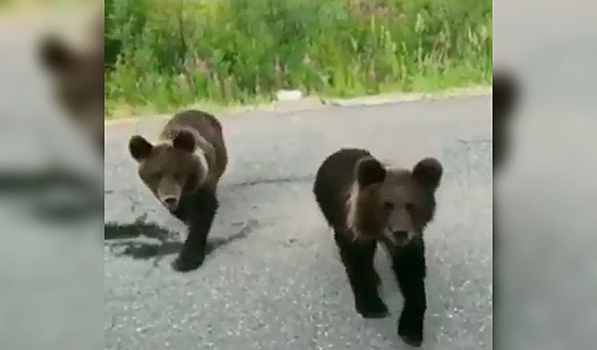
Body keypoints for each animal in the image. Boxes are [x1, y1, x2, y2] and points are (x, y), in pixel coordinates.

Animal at [128, 110, 228, 272]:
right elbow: (181, 211)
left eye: (178, 173)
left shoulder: (203, 182)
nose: (170, 198)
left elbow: (203, 214)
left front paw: (185, 260)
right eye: (156, 175)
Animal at [312, 148, 442, 348]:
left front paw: (410, 330)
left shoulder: (408, 243)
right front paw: (372, 306)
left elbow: (412, 274)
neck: (378, 230)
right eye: (387, 204)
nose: (400, 232)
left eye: (411, 205)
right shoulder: (353, 230)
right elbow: (357, 263)